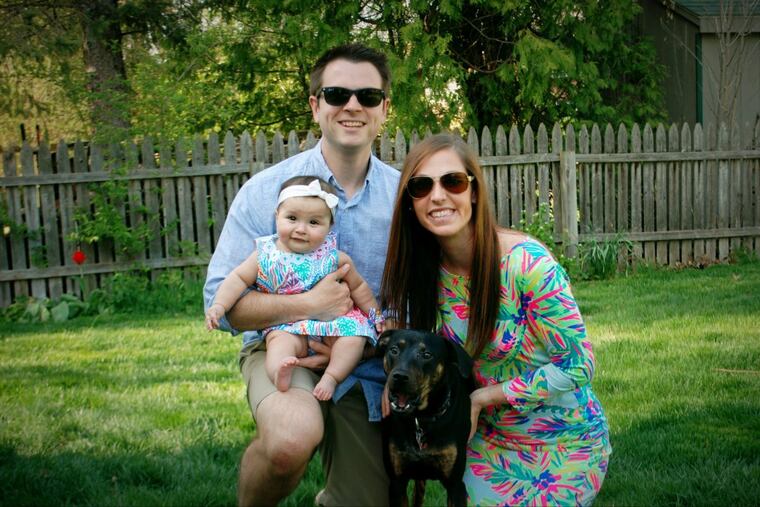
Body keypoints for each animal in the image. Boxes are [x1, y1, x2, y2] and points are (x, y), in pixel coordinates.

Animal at [377, 329, 474, 507]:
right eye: (394, 350)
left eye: (427, 354)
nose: (399, 377)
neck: (421, 418)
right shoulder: (397, 482)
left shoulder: (456, 485)